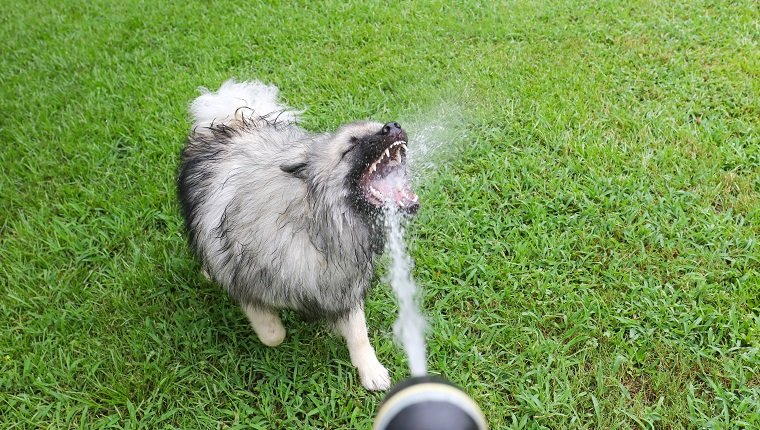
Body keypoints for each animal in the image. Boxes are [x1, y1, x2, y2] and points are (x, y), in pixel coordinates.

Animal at [177, 79, 418, 392]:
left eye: (377, 127)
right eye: (351, 144)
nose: (392, 125)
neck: (316, 224)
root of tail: (234, 119)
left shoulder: (342, 284)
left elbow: (358, 333)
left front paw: (370, 369)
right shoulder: (247, 285)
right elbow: (272, 335)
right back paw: (207, 271)